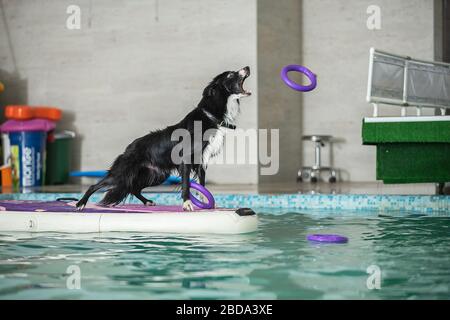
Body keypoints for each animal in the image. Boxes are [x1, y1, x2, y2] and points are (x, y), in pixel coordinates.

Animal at [78, 66, 253, 211]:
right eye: (230, 74)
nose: (247, 67)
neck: (211, 115)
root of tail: (129, 148)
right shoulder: (186, 160)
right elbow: (186, 185)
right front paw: (187, 204)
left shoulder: (202, 161)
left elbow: (203, 186)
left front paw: (207, 206)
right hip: (122, 173)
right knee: (95, 185)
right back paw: (80, 203)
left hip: (157, 175)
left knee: (134, 188)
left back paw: (148, 201)